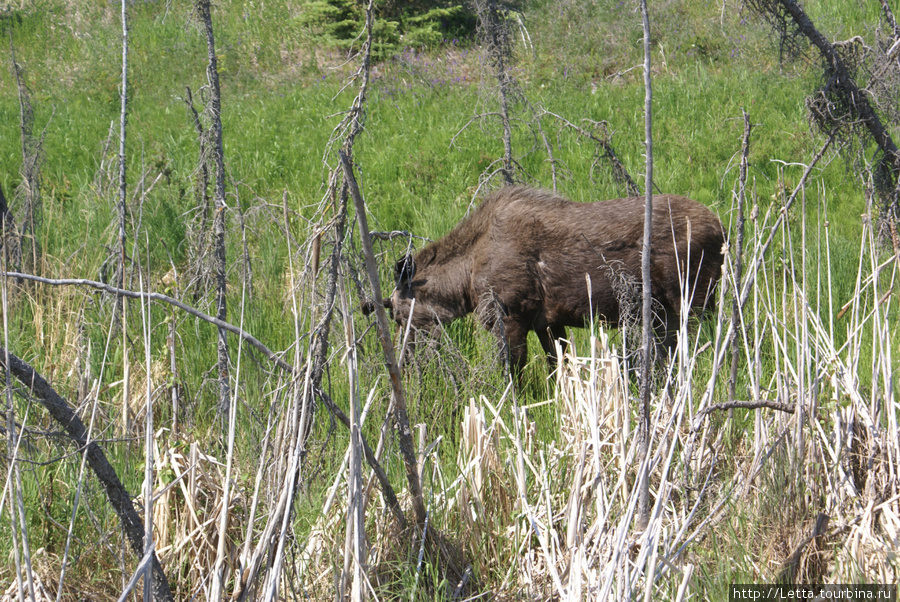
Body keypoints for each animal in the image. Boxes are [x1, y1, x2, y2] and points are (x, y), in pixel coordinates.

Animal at [366, 186, 724, 376]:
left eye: (399, 316)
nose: (401, 363)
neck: (465, 282)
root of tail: (723, 232)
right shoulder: (548, 322)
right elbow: (558, 370)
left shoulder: (510, 315)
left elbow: (512, 376)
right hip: (669, 311)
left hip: (692, 300)